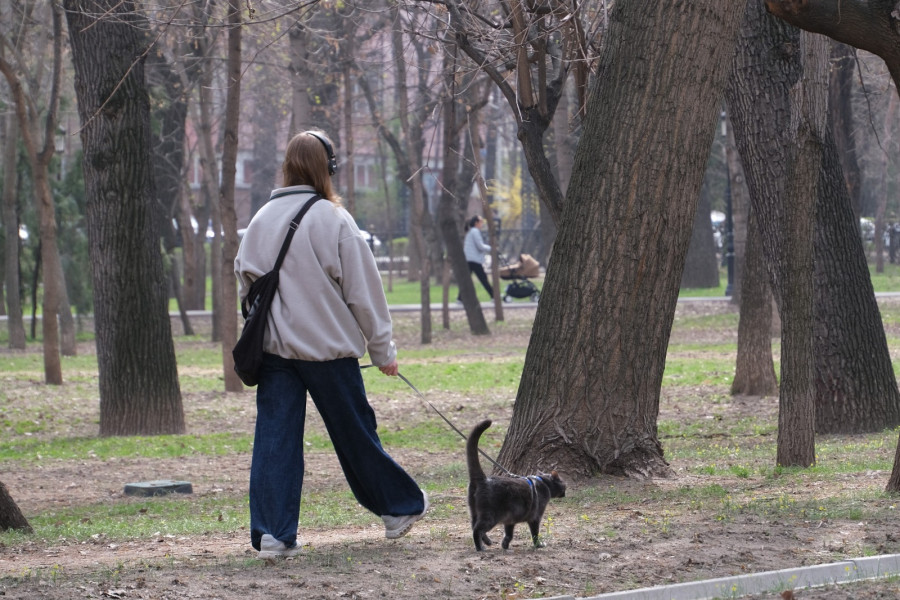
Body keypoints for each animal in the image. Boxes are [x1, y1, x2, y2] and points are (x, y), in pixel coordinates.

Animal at [468, 420, 568, 552]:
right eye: (564, 484)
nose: (565, 493)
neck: (544, 483)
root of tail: (483, 480)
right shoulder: (535, 517)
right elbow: (535, 534)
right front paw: (539, 545)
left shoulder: (510, 520)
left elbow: (509, 534)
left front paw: (505, 545)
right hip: (491, 515)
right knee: (477, 529)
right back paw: (480, 548)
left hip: (475, 511)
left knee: (474, 526)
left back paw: (487, 543)